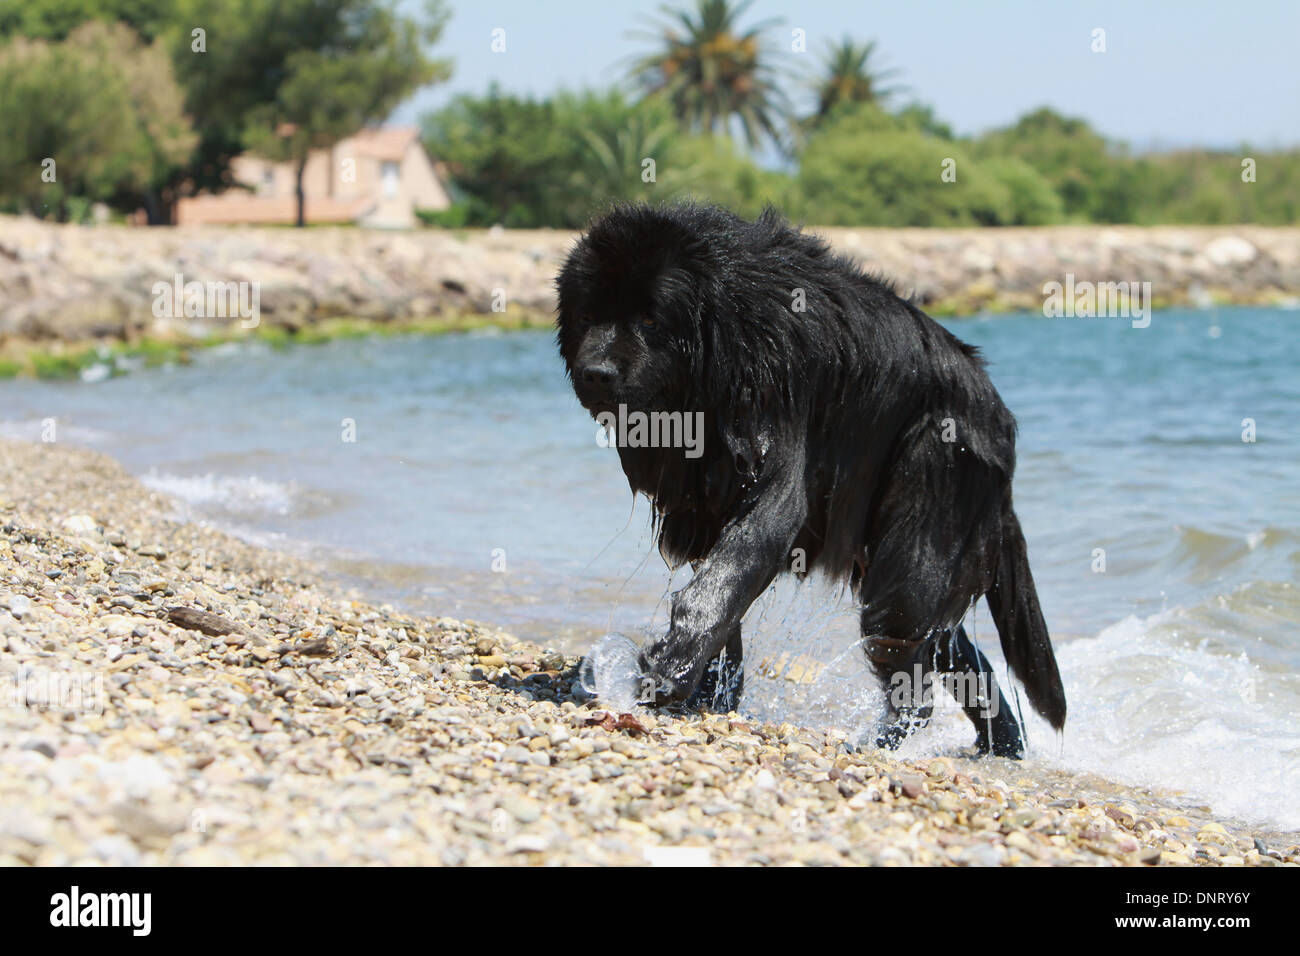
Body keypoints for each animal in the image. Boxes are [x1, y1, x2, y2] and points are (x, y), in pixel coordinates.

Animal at [553, 201, 1060, 754]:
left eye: (649, 318)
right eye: (586, 316)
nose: (597, 372)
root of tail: (1001, 418)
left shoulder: (773, 424)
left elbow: (728, 573)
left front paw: (668, 670)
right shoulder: (703, 503)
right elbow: (722, 595)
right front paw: (709, 694)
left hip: (927, 498)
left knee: (909, 659)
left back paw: (875, 744)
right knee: (952, 648)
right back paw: (1002, 748)